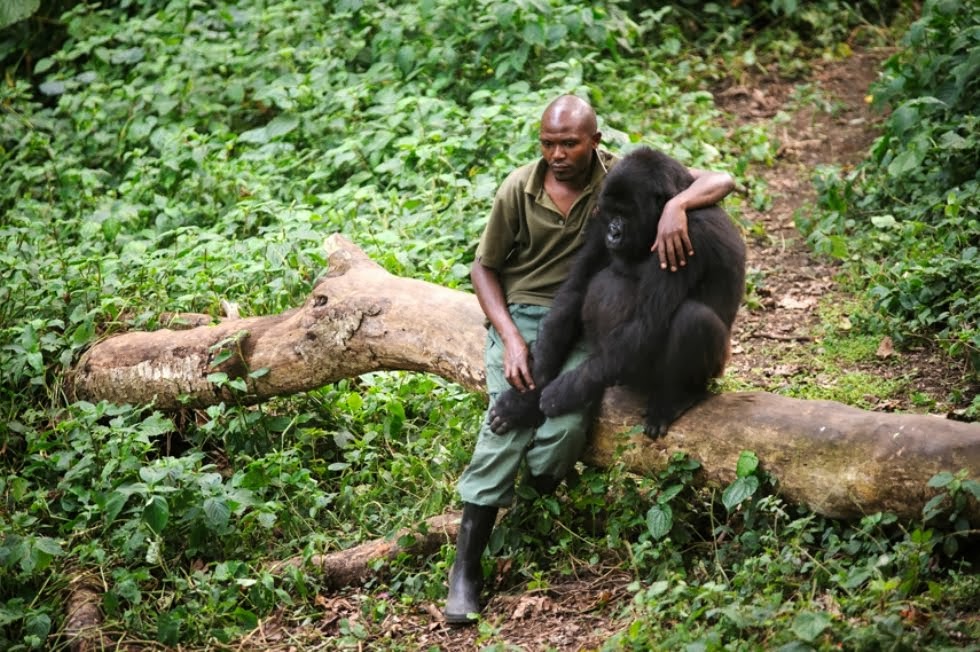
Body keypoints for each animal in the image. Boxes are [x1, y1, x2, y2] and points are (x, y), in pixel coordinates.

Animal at [486, 148, 748, 438]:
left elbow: (647, 322)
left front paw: (562, 393)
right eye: (611, 213)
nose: (613, 233)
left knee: (693, 317)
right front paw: (525, 399)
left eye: (626, 213)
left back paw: (677, 397)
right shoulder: (599, 219)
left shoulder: (685, 230)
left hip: (713, 370)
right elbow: (575, 291)